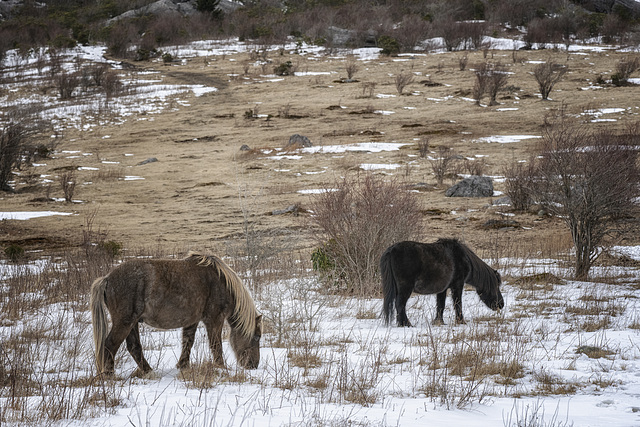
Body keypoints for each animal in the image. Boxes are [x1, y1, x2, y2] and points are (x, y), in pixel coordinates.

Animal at [89, 252, 262, 376]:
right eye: (257, 337)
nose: (254, 365)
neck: (221, 282)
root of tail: (107, 278)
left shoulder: (192, 321)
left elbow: (188, 342)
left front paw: (182, 365)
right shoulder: (214, 320)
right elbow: (216, 346)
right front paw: (221, 367)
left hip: (132, 323)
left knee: (134, 347)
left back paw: (149, 371)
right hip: (125, 322)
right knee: (110, 344)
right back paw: (109, 374)